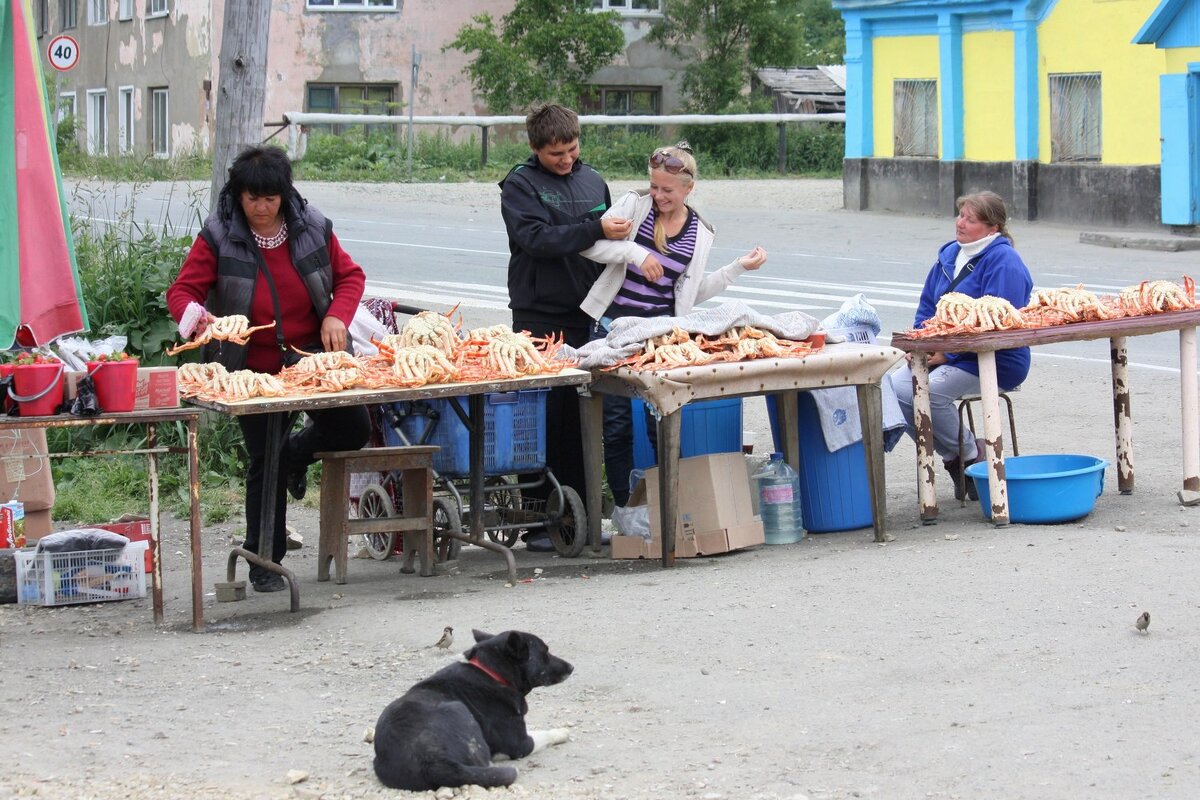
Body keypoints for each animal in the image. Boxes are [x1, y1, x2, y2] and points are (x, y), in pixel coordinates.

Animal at [374, 633, 576, 796]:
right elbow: (544, 734)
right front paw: (561, 732)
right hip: (458, 708)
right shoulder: (520, 743)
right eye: (545, 652)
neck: (492, 673)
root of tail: (432, 761)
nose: (572, 667)